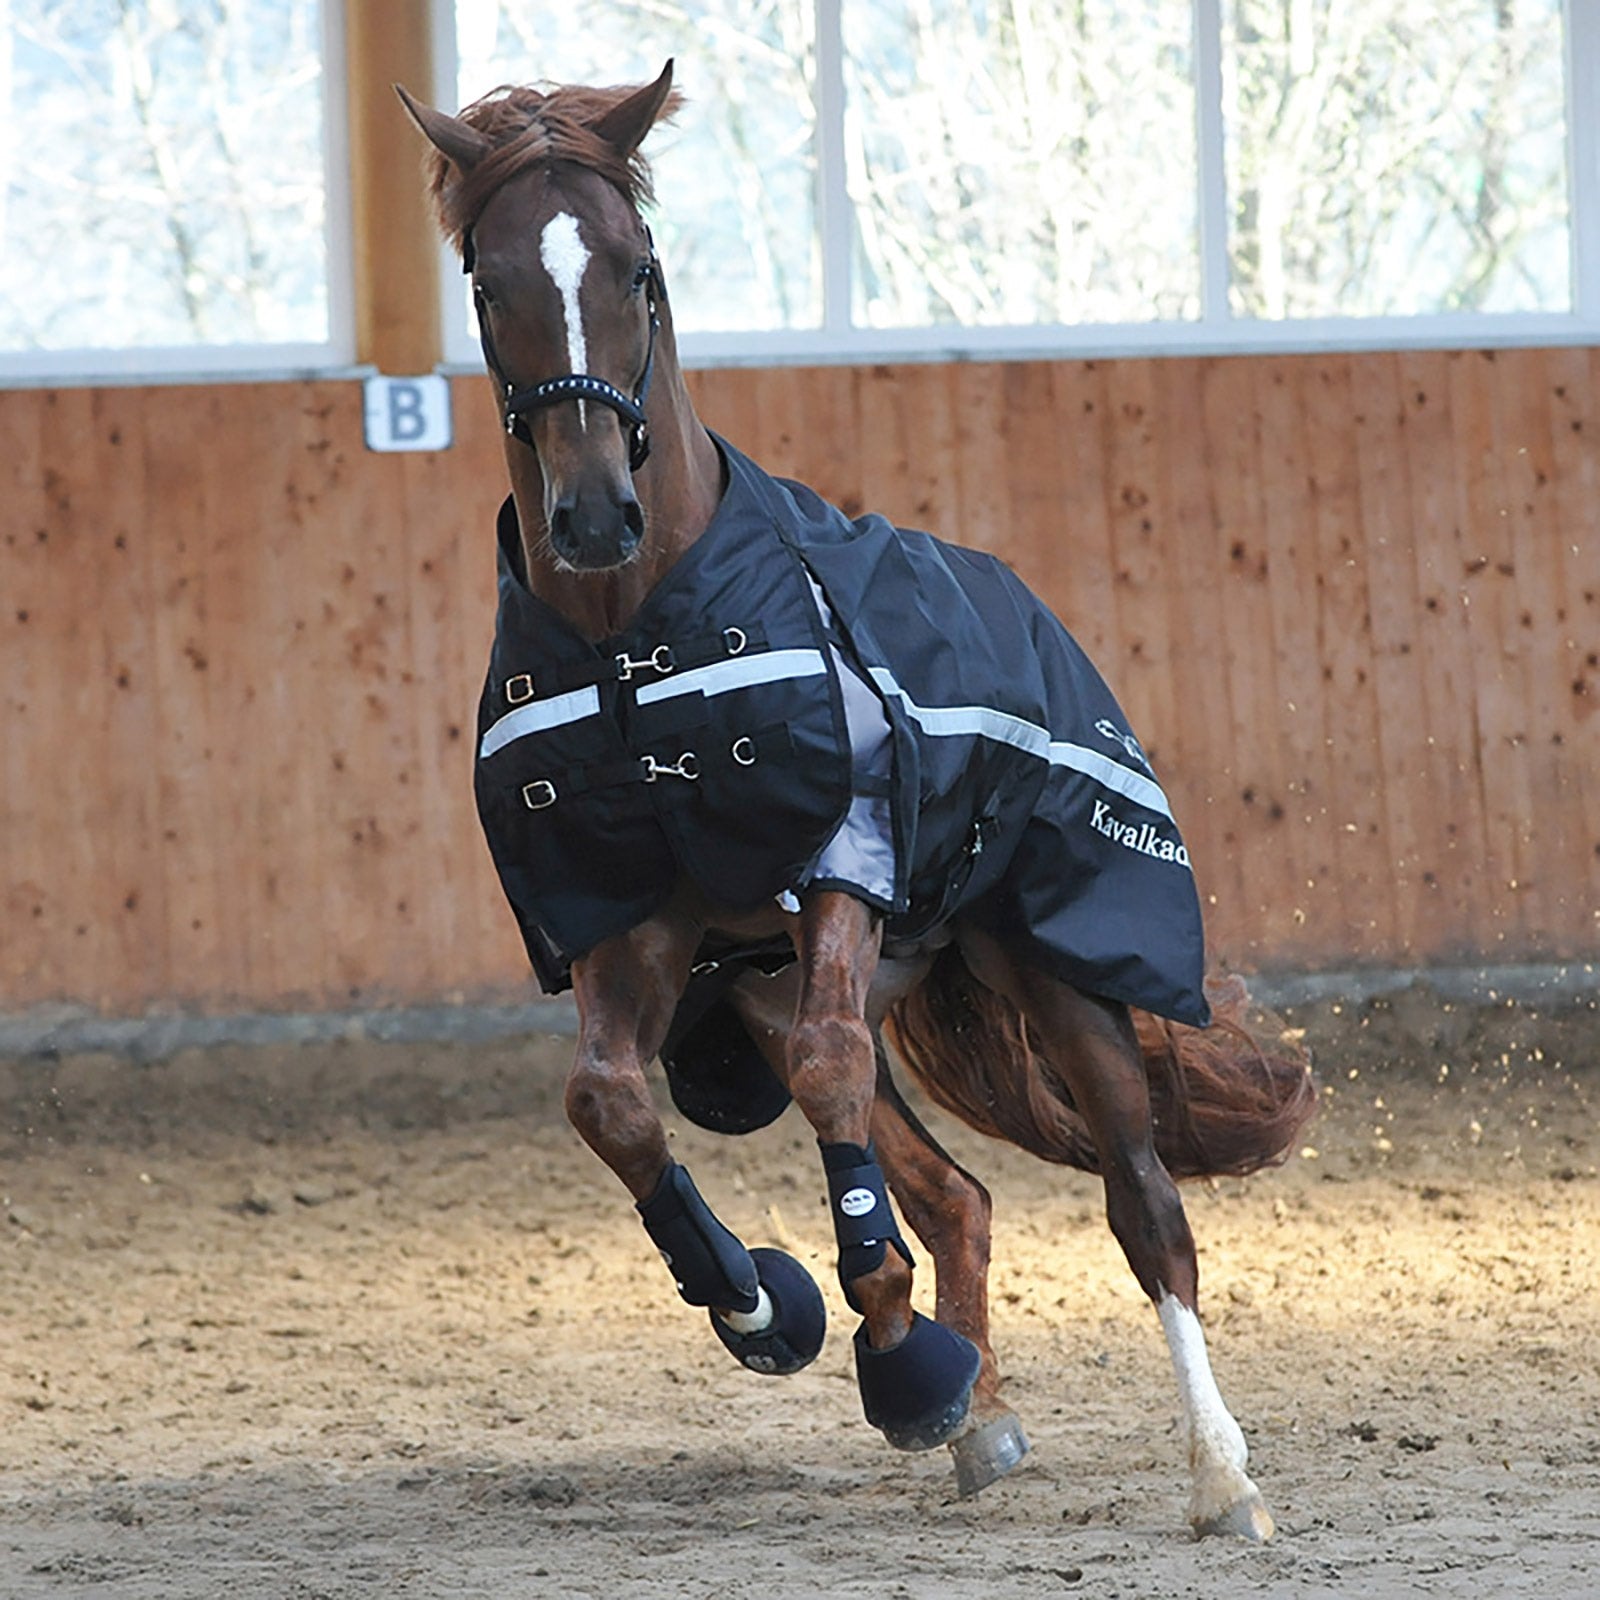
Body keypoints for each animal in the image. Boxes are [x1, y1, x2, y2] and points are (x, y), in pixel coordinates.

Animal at [397, 63, 1316, 1539]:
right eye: (489, 281)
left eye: (638, 268)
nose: (592, 511)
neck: (630, 640)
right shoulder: (627, 913)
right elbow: (607, 1101)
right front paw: (761, 1304)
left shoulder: (839, 858)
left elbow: (834, 1080)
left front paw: (892, 1355)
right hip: (771, 993)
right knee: (956, 1195)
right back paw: (978, 1418)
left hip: (1050, 969)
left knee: (1143, 1208)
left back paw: (1219, 1475)